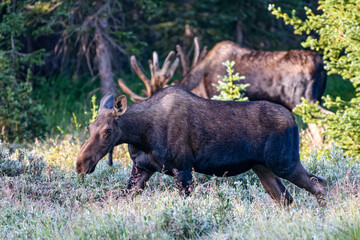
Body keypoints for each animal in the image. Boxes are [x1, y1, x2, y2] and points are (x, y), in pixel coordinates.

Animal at [76, 85, 330, 205]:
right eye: (89, 128)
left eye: (108, 131)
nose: (80, 164)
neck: (141, 135)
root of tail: (294, 120)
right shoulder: (142, 168)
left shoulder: (183, 168)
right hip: (263, 167)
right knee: (286, 199)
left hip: (284, 162)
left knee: (320, 185)